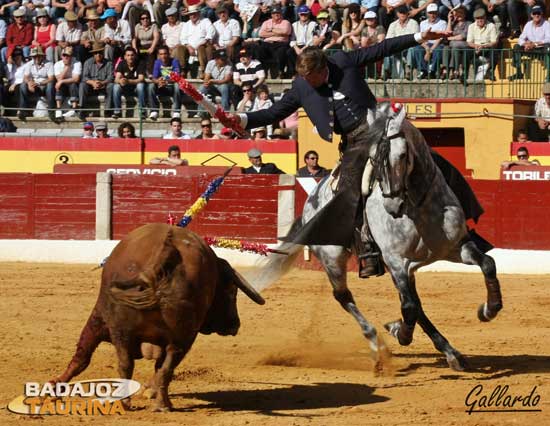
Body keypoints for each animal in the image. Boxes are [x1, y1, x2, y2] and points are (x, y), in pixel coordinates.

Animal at [52, 225, 266, 412]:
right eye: (231, 291)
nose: (234, 324)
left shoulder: (100, 321)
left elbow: (82, 357)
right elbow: (83, 358)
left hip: (128, 331)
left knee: (131, 363)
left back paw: (138, 403)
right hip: (180, 337)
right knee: (161, 366)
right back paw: (159, 404)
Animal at [249, 101, 504, 372]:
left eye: (402, 155)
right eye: (372, 159)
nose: (392, 206)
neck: (418, 207)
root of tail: (309, 202)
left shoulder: (456, 246)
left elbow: (488, 264)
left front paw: (488, 310)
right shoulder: (396, 261)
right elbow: (409, 307)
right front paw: (401, 333)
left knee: (415, 305)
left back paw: (450, 352)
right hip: (332, 258)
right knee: (345, 296)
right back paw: (378, 344)